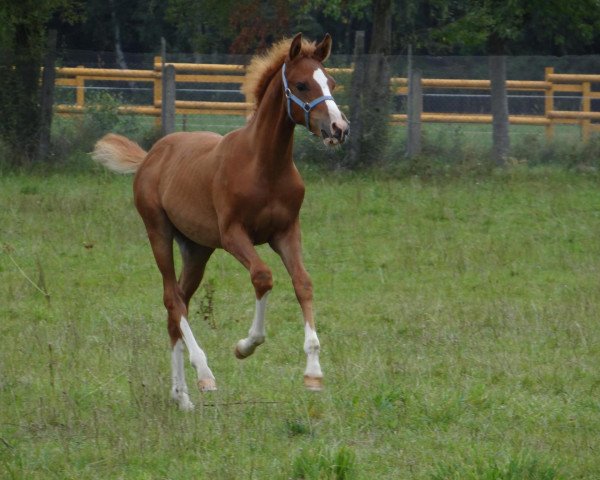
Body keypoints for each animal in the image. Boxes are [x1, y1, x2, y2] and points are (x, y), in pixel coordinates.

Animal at [92, 33, 350, 408]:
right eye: (302, 84)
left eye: (331, 82)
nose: (338, 128)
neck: (264, 165)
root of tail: (150, 156)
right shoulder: (232, 235)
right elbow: (263, 277)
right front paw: (244, 346)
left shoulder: (287, 232)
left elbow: (303, 283)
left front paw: (313, 373)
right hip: (158, 232)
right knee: (172, 299)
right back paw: (203, 375)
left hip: (197, 249)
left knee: (178, 306)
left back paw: (181, 396)